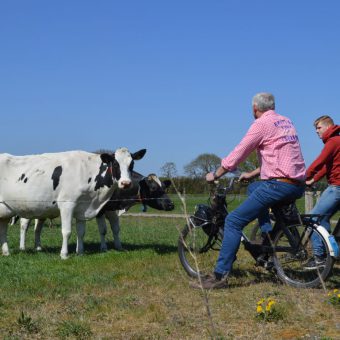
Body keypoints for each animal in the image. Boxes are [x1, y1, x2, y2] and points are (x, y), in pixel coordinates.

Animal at [0, 148, 145, 258]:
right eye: (115, 164)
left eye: (132, 164)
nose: (126, 183)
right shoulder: (67, 204)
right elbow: (67, 231)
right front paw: (64, 254)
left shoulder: (82, 208)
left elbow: (81, 232)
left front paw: (80, 252)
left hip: (6, 210)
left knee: (4, 229)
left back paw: (7, 252)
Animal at [17, 171, 174, 251]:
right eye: (153, 188)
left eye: (164, 187)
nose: (171, 205)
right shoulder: (101, 210)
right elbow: (103, 230)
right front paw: (104, 248)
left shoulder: (112, 210)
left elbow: (116, 229)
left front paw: (119, 247)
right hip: (27, 209)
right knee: (24, 226)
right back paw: (22, 247)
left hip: (42, 213)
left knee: (37, 228)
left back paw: (38, 247)